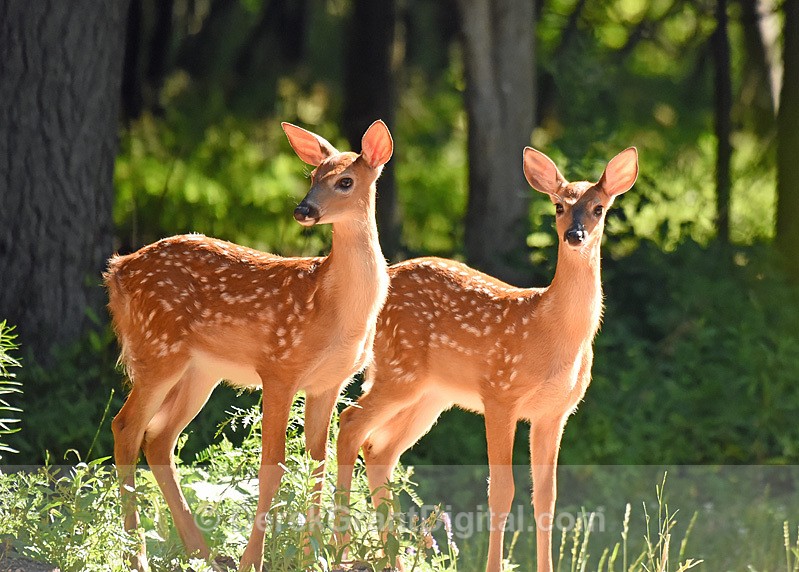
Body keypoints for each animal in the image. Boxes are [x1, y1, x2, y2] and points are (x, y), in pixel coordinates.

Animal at [105, 120, 393, 572]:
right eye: (313, 176)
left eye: (345, 180)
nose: (303, 210)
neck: (332, 309)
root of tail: (116, 270)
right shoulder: (279, 368)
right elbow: (272, 466)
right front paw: (254, 560)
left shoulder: (327, 383)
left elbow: (317, 462)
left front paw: (311, 557)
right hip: (158, 351)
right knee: (127, 428)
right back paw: (138, 555)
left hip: (199, 371)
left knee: (159, 438)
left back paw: (201, 552)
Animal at [334, 146, 638, 572]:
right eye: (559, 206)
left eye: (598, 207)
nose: (574, 235)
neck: (552, 332)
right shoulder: (499, 395)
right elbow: (501, 491)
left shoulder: (554, 412)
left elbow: (547, 497)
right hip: (401, 372)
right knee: (350, 423)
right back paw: (342, 549)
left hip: (431, 396)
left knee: (380, 449)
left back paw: (389, 557)